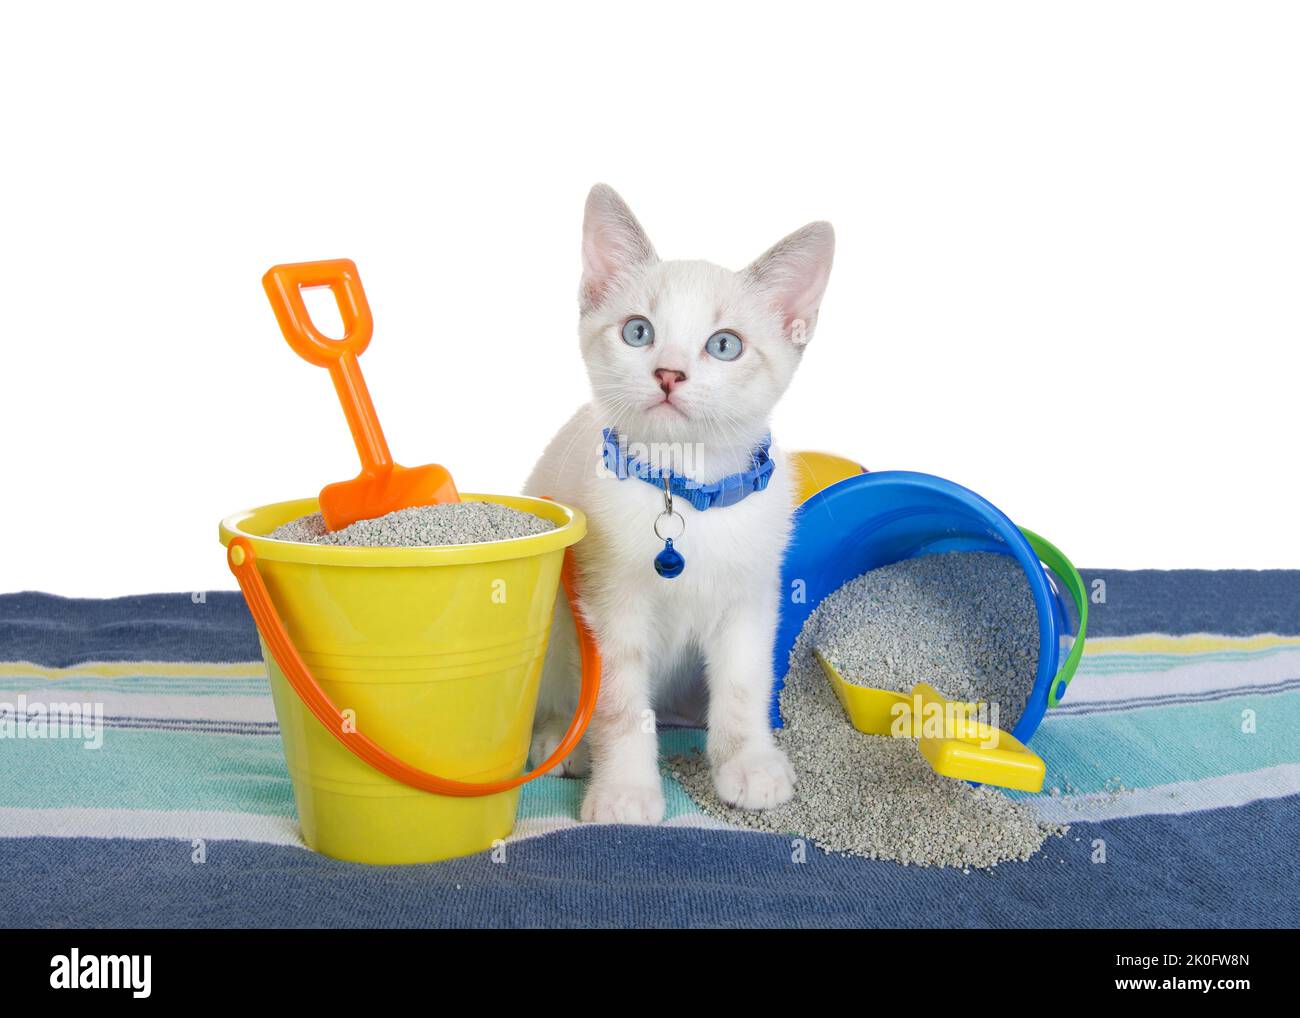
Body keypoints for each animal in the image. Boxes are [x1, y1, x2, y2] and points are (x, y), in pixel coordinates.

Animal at [525, 184, 837, 826]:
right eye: (638, 332)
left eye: (725, 345)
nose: (669, 373)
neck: (689, 490)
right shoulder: (609, 606)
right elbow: (620, 704)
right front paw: (624, 792)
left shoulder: (751, 597)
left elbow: (743, 684)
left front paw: (749, 765)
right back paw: (559, 739)